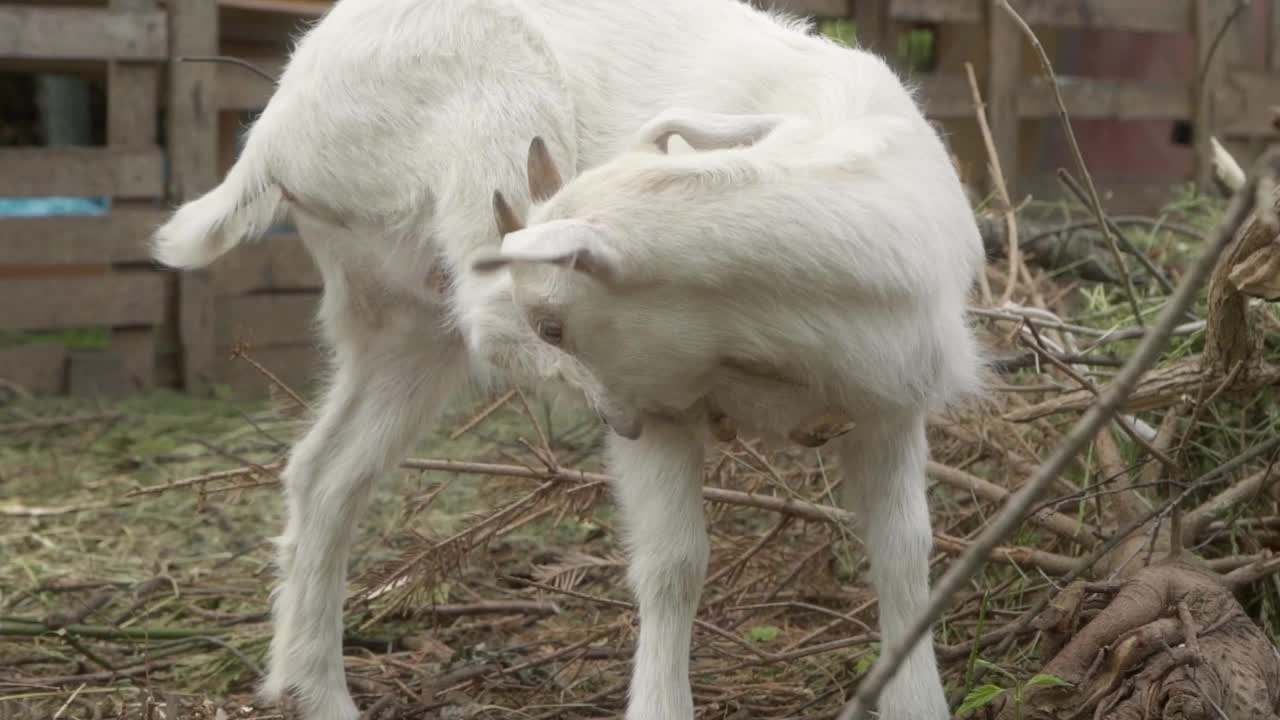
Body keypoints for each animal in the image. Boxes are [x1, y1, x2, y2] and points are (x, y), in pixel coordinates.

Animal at [147, 1, 977, 717]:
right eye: (553, 326)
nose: (620, 411)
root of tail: (276, 129)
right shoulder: (662, 405)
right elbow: (673, 565)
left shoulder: (889, 409)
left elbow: (906, 556)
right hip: (486, 125)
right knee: (477, 316)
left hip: (401, 320)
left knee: (325, 474)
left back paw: (315, 693)